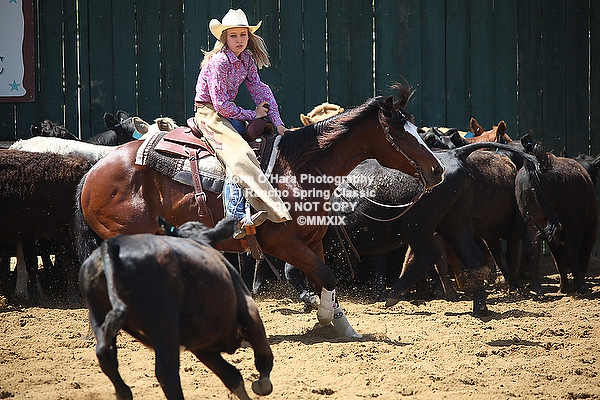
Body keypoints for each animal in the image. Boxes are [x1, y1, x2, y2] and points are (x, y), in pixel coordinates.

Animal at [75, 83, 445, 337]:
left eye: (418, 130)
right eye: (400, 134)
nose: (438, 170)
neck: (299, 168)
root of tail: (92, 172)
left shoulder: (313, 241)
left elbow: (323, 277)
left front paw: (340, 323)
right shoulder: (281, 244)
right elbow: (324, 275)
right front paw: (325, 317)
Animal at [79, 217, 274, 400]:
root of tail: (112, 245)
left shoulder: (202, 346)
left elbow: (232, 376)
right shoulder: (250, 316)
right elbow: (264, 358)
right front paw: (261, 384)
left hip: (98, 314)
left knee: (105, 354)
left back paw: (124, 392)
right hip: (165, 326)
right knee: (167, 373)